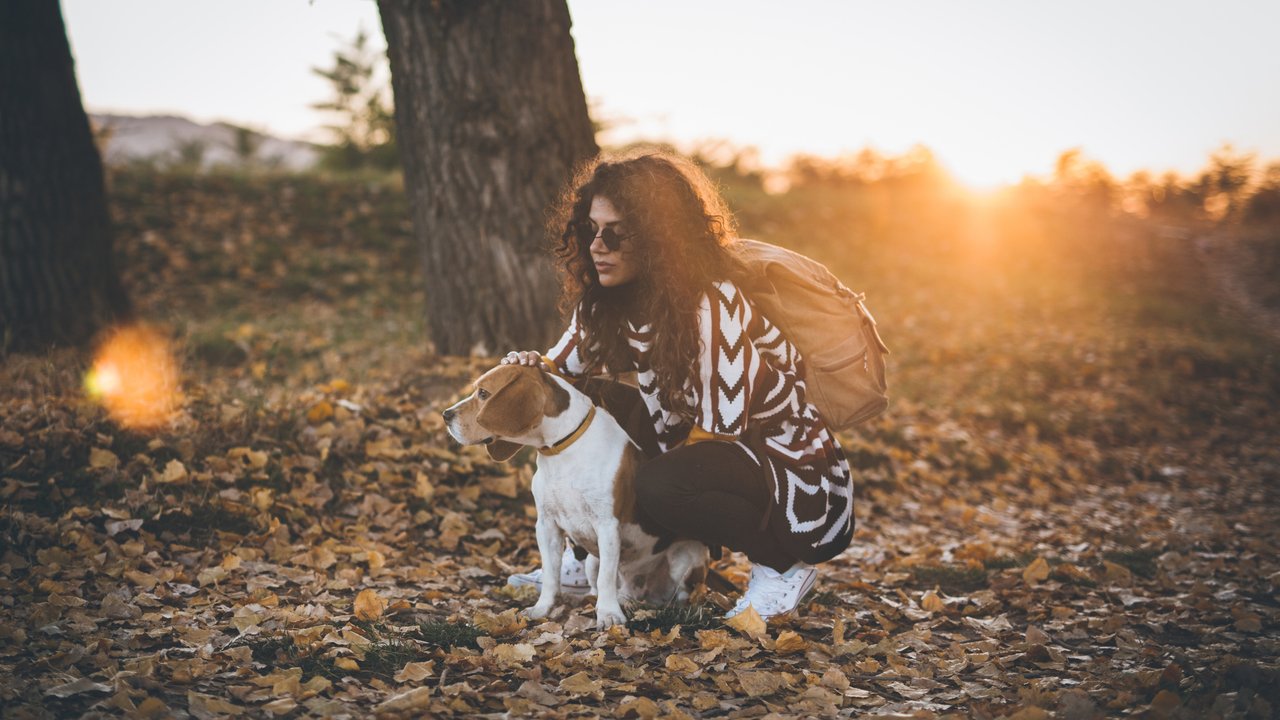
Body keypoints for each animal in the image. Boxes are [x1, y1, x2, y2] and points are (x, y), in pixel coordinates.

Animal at [445, 361, 711, 625]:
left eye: (483, 393)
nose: (446, 414)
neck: (561, 450)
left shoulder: (607, 525)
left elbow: (606, 578)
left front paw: (609, 614)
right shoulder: (546, 525)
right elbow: (551, 575)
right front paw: (542, 608)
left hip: (685, 556)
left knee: (677, 591)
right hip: (593, 561)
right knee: (609, 586)